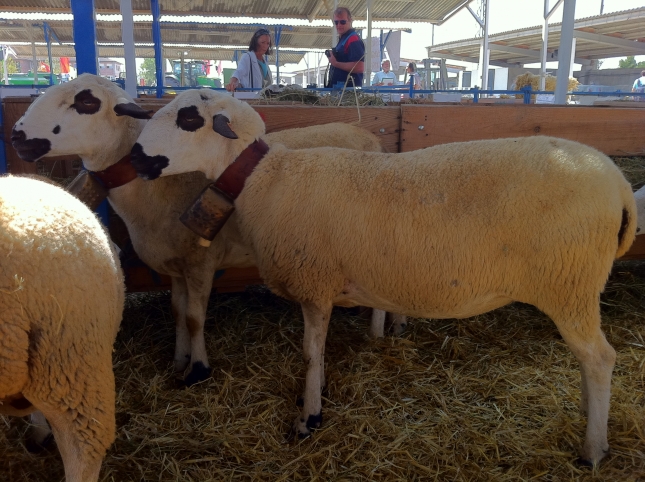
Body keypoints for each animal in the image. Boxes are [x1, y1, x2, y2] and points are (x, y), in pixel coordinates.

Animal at [10, 74, 399, 388]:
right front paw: (179, 360)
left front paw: (197, 370)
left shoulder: (201, 261)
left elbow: (196, 318)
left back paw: (378, 333)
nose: (16, 135)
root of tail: (370, 136)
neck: (154, 191)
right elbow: (177, 312)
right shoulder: (175, 264)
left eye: (87, 102)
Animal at [129, 88, 637, 465]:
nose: (135, 155)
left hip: (570, 282)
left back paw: (593, 449)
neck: (263, 177)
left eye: (188, 119)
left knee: (600, 358)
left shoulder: (315, 286)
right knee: (590, 360)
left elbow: (311, 355)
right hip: (574, 285)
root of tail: (619, 184)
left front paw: (308, 418)